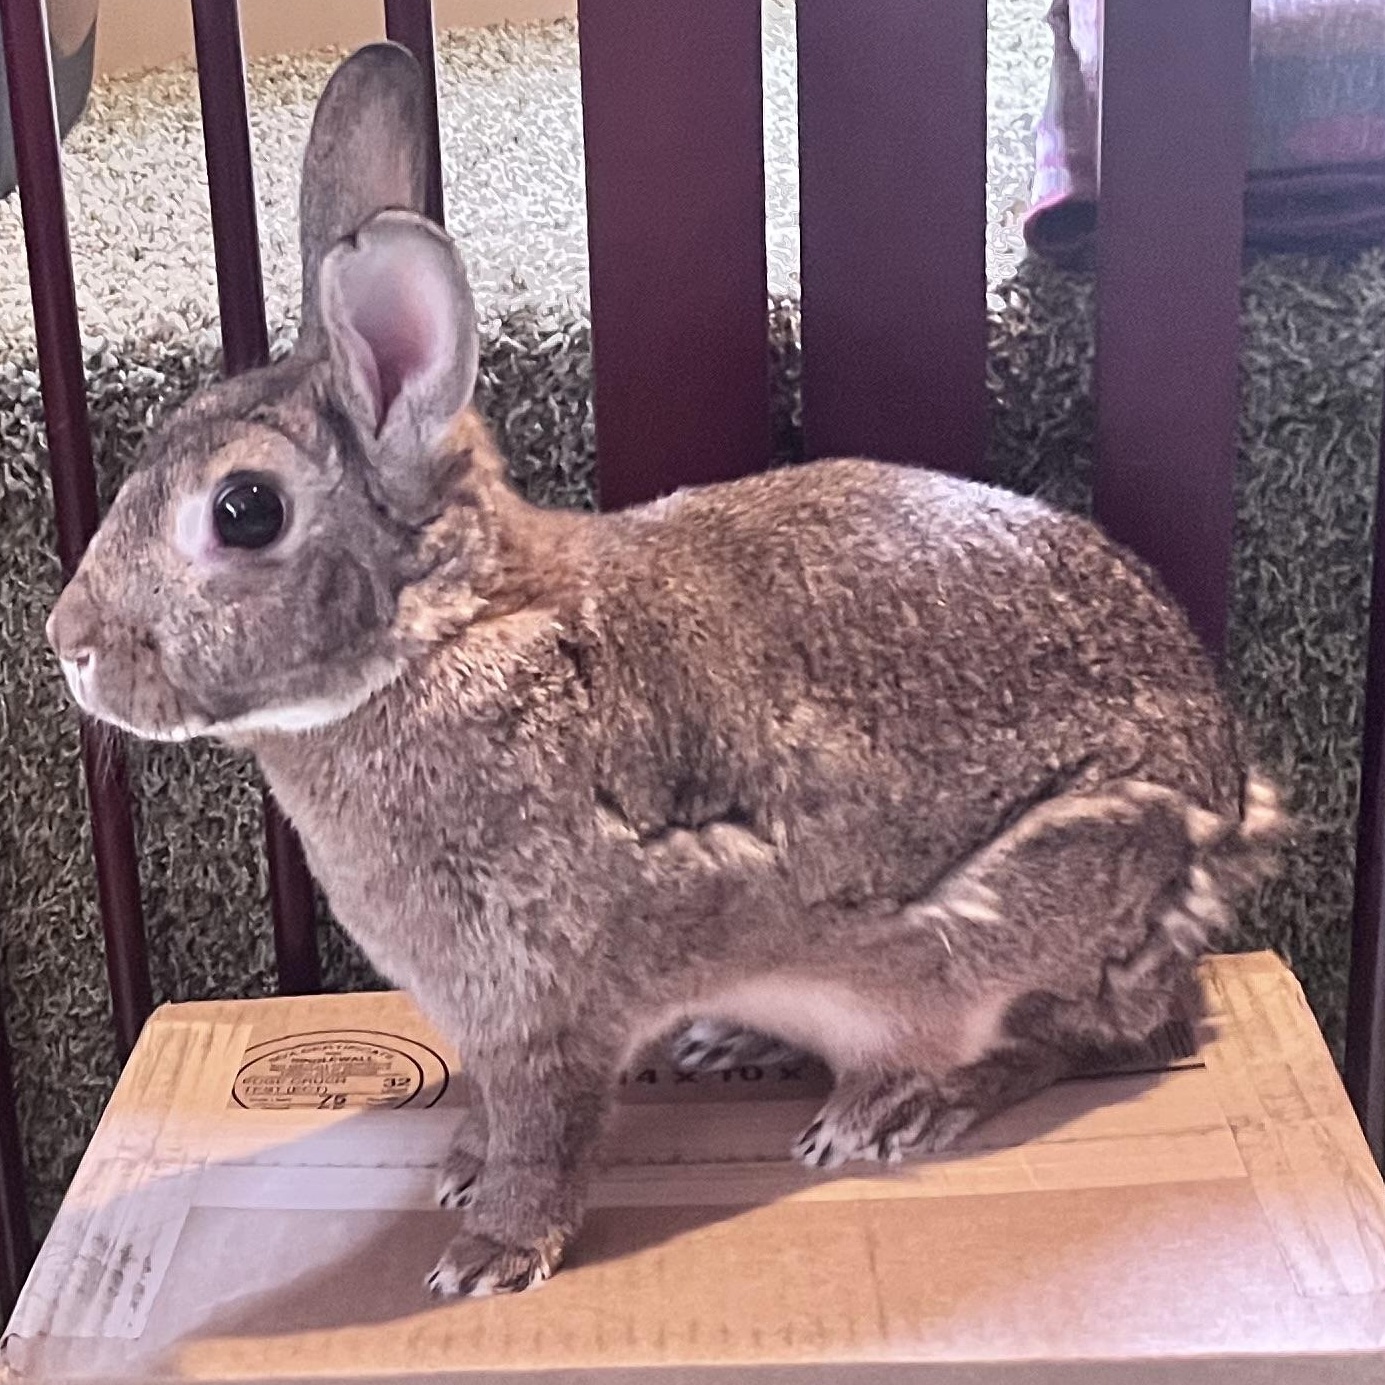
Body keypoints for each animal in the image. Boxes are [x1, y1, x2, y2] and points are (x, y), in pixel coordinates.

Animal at [46, 42, 1285, 1298]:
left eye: (244, 510)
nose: (68, 643)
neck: (445, 632)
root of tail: (1227, 821)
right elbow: (495, 1116)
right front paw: (459, 1169)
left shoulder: (551, 1008)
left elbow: (545, 1134)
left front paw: (488, 1253)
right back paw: (736, 1038)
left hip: (1025, 905)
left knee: (1073, 1035)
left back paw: (891, 1112)